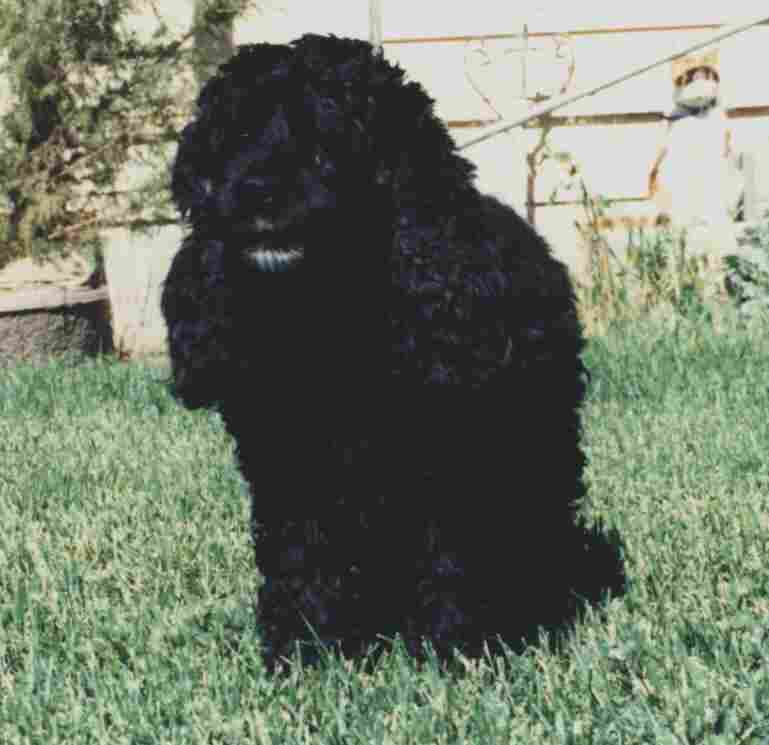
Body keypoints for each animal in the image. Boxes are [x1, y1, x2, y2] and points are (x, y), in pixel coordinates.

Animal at [164, 33, 624, 664]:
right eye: (232, 137)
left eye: (327, 135)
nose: (254, 191)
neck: (326, 322)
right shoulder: (288, 467)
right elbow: (301, 560)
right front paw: (304, 650)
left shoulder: (451, 463)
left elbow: (455, 560)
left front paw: (454, 649)